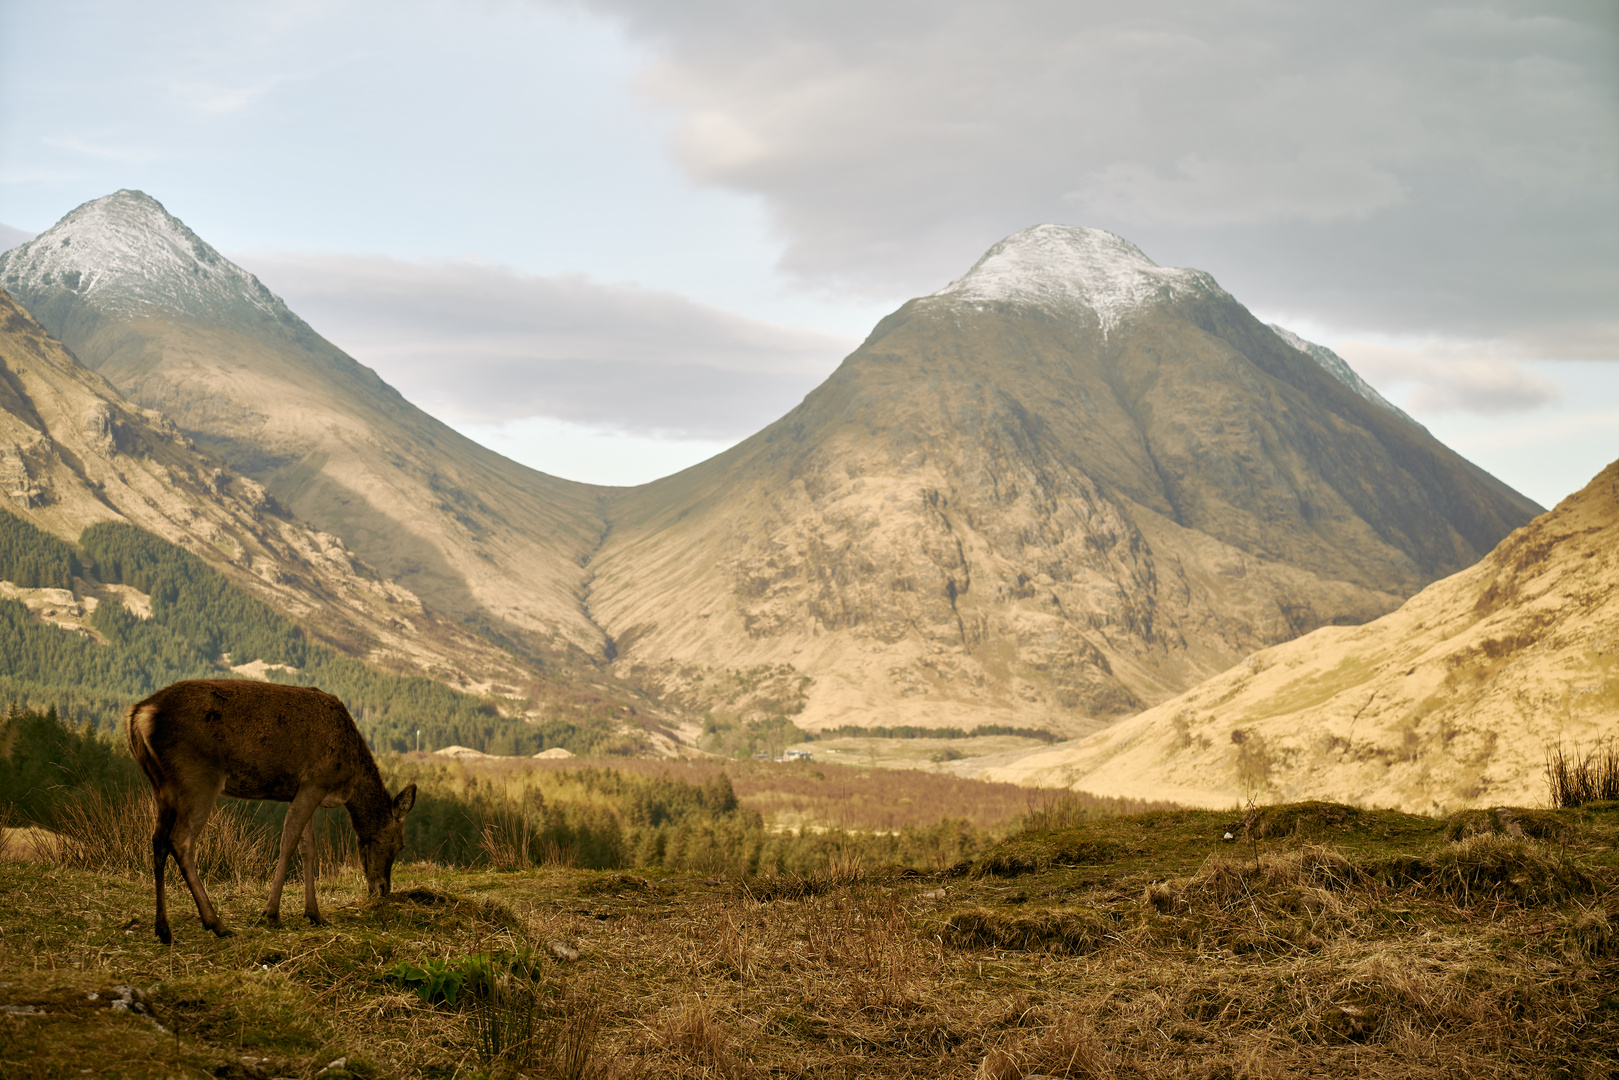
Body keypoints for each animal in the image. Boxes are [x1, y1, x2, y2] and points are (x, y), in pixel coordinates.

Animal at [127, 683, 417, 945]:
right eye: (398, 844)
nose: (383, 889)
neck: (349, 778)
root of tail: (139, 714)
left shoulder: (302, 791)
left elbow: (308, 849)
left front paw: (314, 914)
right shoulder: (315, 781)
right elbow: (288, 843)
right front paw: (272, 914)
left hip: (162, 785)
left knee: (157, 840)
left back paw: (163, 930)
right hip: (197, 777)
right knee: (181, 841)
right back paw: (216, 924)